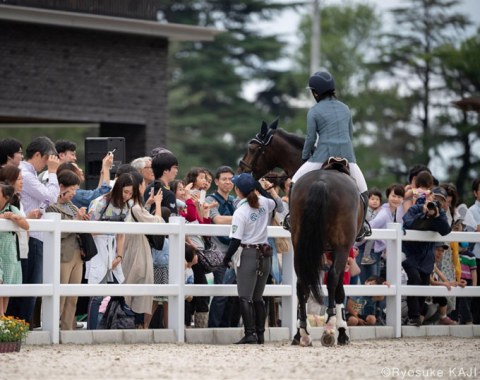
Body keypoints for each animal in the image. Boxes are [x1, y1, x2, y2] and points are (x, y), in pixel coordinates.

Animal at [238, 119, 362, 348]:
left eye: (252, 148)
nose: (241, 170)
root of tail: (322, 181)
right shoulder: (340, 248)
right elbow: (339, 287)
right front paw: (342, 331)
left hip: (300, 243)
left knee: (301, 281)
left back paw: (302, 333)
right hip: (339, 245)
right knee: (331, 279)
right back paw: (328, 329)